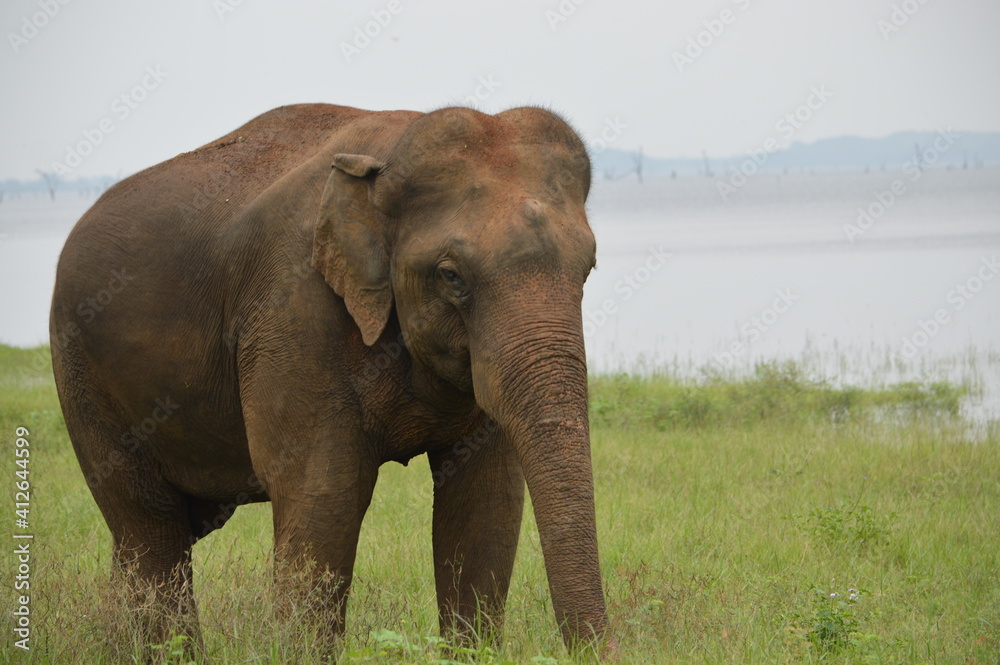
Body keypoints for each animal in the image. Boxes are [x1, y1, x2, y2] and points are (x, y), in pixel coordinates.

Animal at [50, 103, 616, 657]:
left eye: (589, 268)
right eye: (451, 276)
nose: (606, 648)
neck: (387, 157)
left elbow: (487, 502)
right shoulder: (293, 311)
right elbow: (324, 495)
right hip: (82, 370)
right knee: (149, 526)